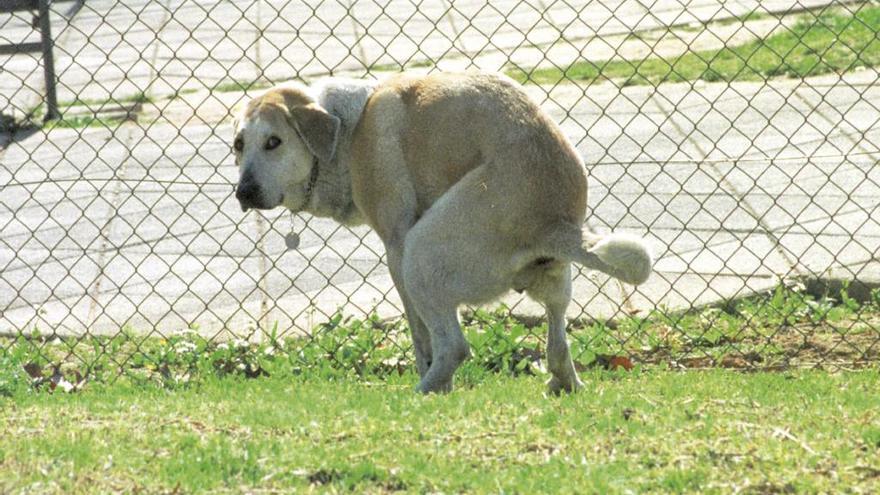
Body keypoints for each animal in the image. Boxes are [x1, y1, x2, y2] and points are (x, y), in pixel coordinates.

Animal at [230, 70, 648, 396]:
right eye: (238, 145)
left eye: (273, 142)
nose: (243, 193)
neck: (347, 132)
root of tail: (552, 222)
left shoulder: (396, 248)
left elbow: (420, 335)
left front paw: (435, 381)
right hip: (555, 280)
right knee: (558, 337)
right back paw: (564, 383)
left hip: (422, 253)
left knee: (455, 346)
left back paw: (423, 390)